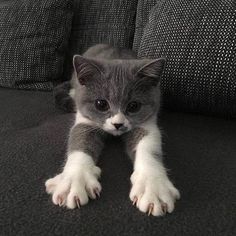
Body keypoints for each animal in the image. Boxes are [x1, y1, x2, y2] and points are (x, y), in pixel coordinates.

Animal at [45, 43, 180, 216]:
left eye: (134, 106)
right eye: (101, 104)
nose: (118, 124)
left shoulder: (147, 122)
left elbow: (149, 147)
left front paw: (153, 187)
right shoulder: (85, 120)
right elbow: (79, 140)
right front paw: (75, 180)